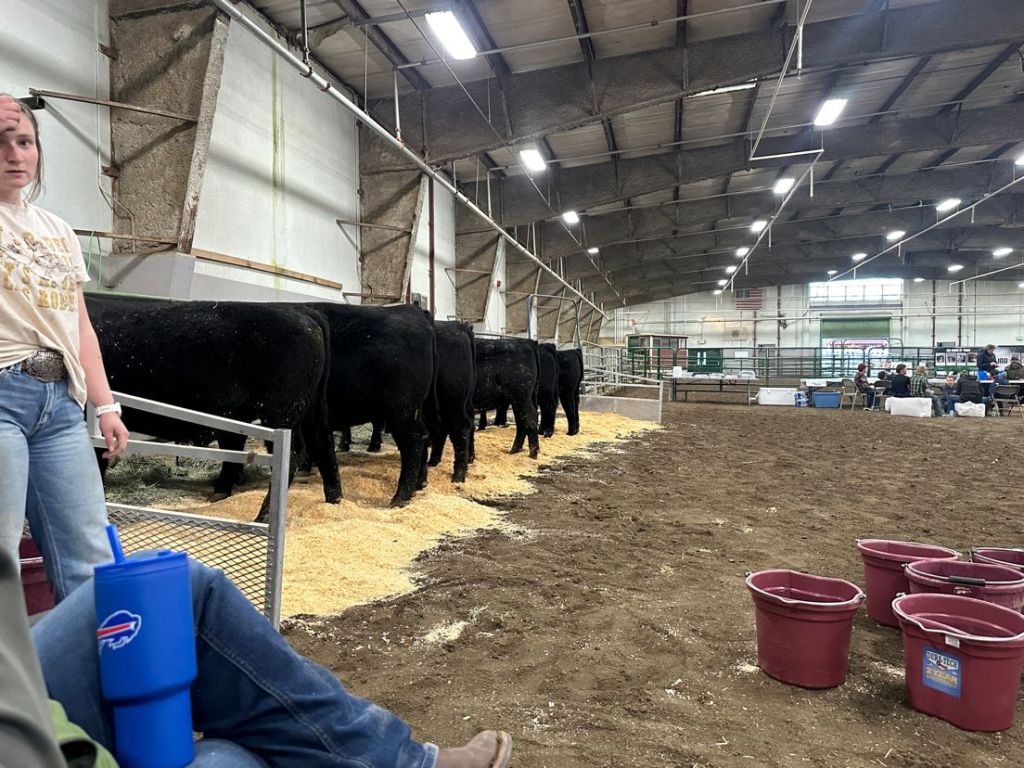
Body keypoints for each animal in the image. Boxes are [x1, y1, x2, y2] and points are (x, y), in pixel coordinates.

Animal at [85, 295, 341, 521]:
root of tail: (302, 312)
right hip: (311, 407)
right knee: (322, 442)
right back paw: (334, 502)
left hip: (281, 411)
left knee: (293, 452)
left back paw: (264, 515)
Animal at [308, 303, 436, 507]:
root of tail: (411, 309)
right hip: (414, 409)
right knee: (423, 436)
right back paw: (419, 484)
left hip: (402, 408)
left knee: (413, 441)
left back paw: (400, 498)